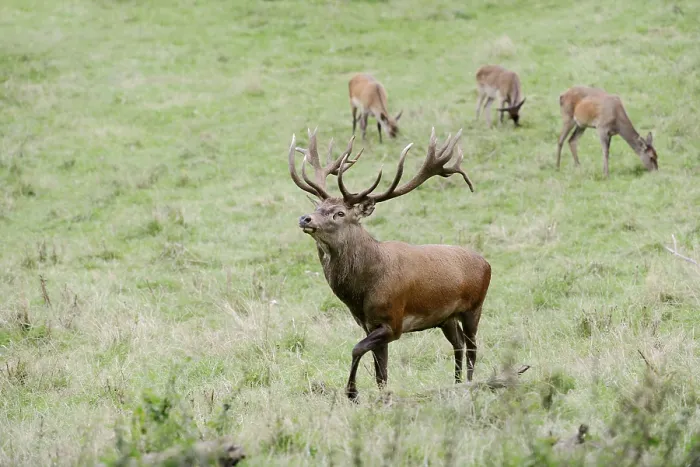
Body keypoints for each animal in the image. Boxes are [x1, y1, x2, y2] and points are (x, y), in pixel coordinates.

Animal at [288, 127, 491, 402]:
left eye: (339, 213)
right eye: (318, 206)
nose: (305, 218)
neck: (363, 290)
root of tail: (487, 263)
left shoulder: (393, 322)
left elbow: (356, 350)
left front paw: (352, 393)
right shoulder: (368, 324)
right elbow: (380, 373)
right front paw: (382, 398)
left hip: (474, 307)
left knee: (472, 347)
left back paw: (469, 383)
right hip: (446, 317)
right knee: (458, 344)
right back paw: (457, 383)